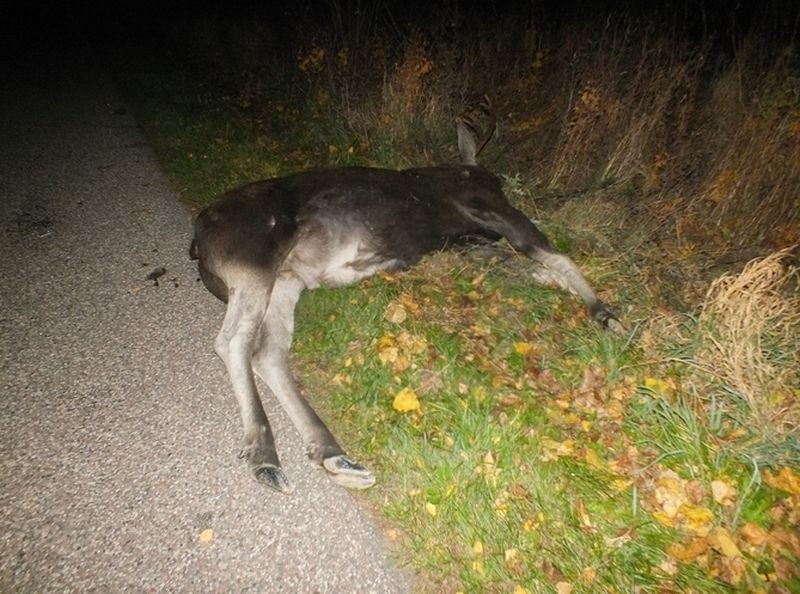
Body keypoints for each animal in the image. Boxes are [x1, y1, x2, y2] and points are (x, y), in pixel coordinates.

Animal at [189, 100, 624, 490]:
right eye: (492, 185)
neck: (469, 169)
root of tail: (198, 238)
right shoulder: (489, 209)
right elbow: (555, 257)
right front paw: (607, 314)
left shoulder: (470, 247)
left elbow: (539, 271)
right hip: (255, 259)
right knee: (233, 341)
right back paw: (265, 454)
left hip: (287, 279)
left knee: (269, 351)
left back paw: (333, 453)